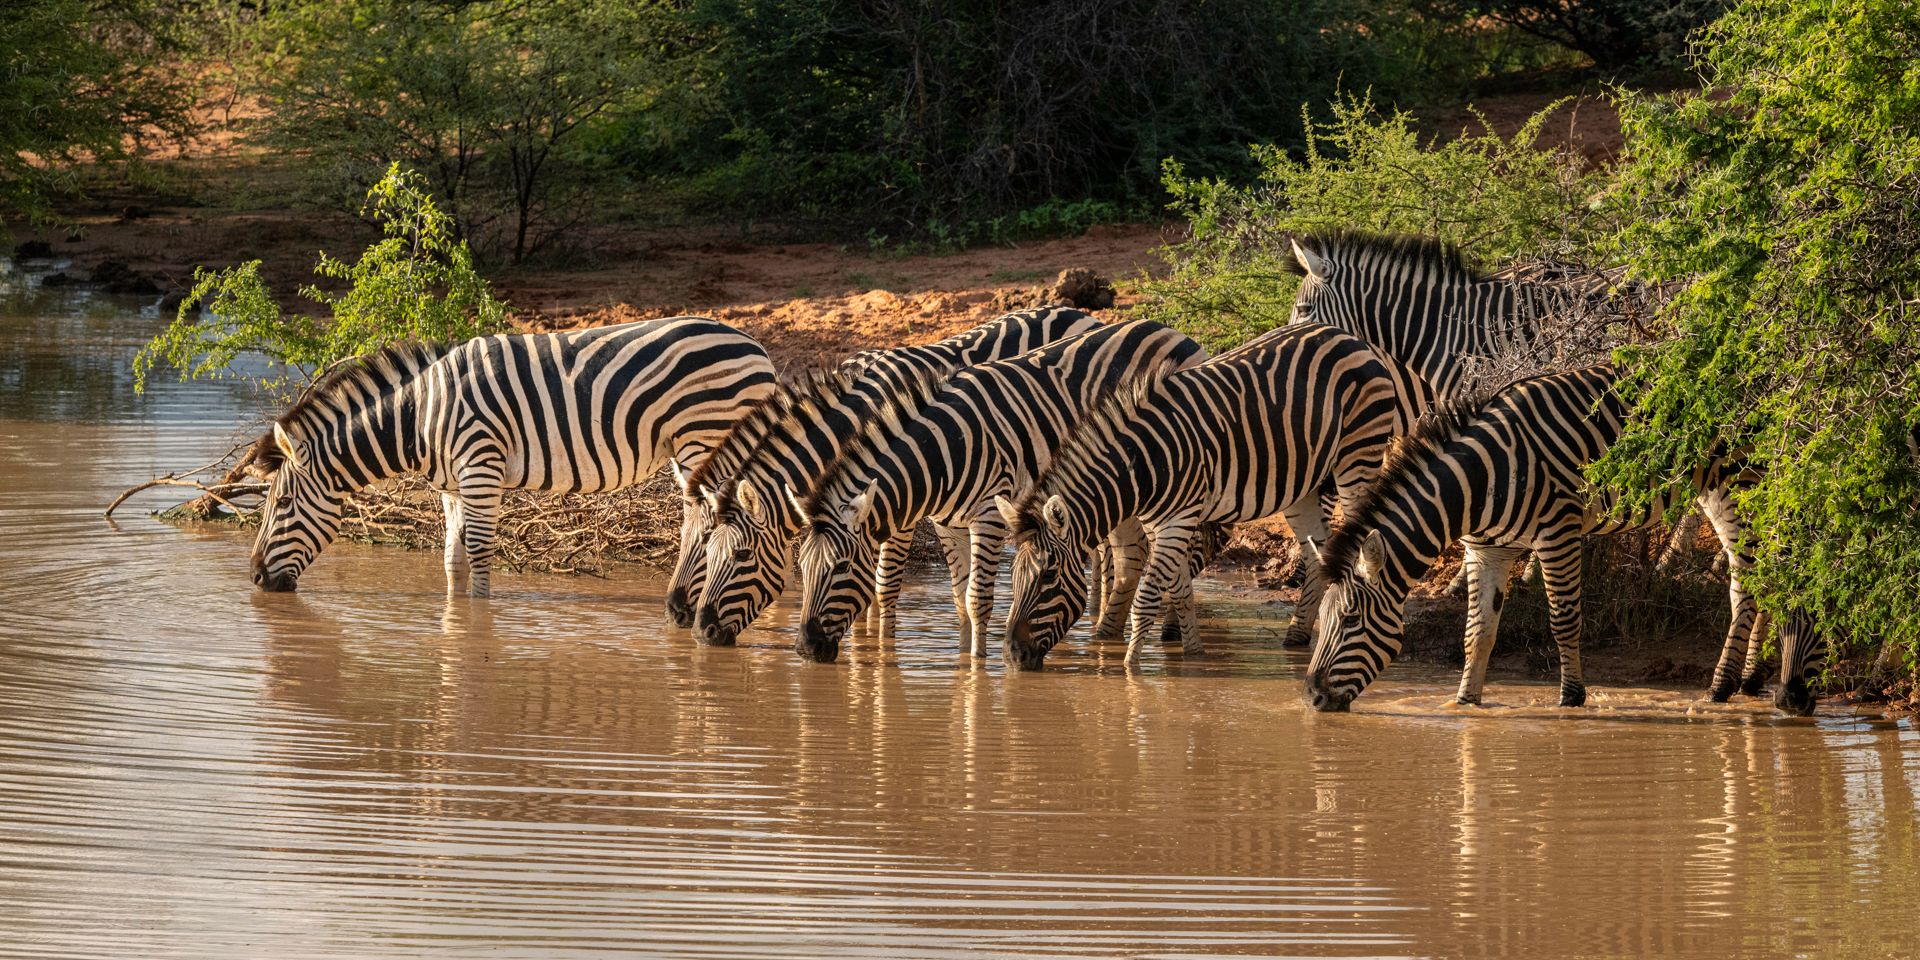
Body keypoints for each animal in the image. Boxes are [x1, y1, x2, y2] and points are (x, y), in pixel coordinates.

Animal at [250, 316, 776, 597]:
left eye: (280, 505)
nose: (254, 577)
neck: (419, 415)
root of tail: (757, 347)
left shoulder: (480, 465)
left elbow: (481, 551)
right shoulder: (452, 484)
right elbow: (452, 557)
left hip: (707, 437)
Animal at [673, 307, 1103, 641]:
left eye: (740, 555)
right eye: (703, 546)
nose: (693, 628)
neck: (852, 427)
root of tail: (1081, 313)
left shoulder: (899, 509)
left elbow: (884, 587)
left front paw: (881, 655)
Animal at [781, 320, 1206, 663]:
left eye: (841, 567)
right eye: (802, 566)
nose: (803, 648)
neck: (942, 450)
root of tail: (1171, 330)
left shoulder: (987, 514)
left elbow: (977, 598)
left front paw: (978, 669)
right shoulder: (947, 524)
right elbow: (959, 598)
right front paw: (963, 657)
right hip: (1119, 488)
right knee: (1131, 554)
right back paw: (1107, 637)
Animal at [997, 322, 1406, 670]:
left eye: (1048, 576)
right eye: (1014, 576)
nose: (1012, 655)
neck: (1140, 463)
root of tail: (1352, 338)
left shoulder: (1178, 519)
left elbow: (1148, 596)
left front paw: (1130, 671)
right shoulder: (1161, 522)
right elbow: (1179, 589)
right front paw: (1192, 654)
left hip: (1358, 456)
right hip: (1303, 486)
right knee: (1315, 553)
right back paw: (1296, 637)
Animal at [1301, 365, 1771, 712]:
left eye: (1350, 620)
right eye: (1321, 619)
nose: (1311, 697)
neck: (1479, 483)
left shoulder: (1557, 533)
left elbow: (1563, 621)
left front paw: (1571, 700)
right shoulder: (1484, 550)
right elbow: (1477, 631)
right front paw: (1465, 704)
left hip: (1742, 481)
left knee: (1750, 581)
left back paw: (1722, 686)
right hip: (1715, 488)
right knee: (1762, 575)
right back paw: (1751, 681)